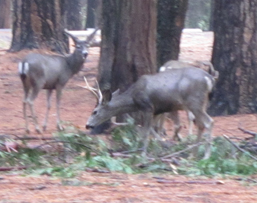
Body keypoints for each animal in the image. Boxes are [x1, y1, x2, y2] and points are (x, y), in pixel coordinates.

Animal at [84, 66, 216, 159]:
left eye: (95, 111)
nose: (87, 125)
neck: (133, 99)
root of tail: (209, 79)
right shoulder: (156, 110)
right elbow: (152, 129)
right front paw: (162, 146)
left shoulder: (147, 107)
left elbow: (146, 131)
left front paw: (142, 154)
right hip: (201, 103)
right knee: (200, 124)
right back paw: (193, 154)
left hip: (194, 102)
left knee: (209, 122)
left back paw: (206, 156)